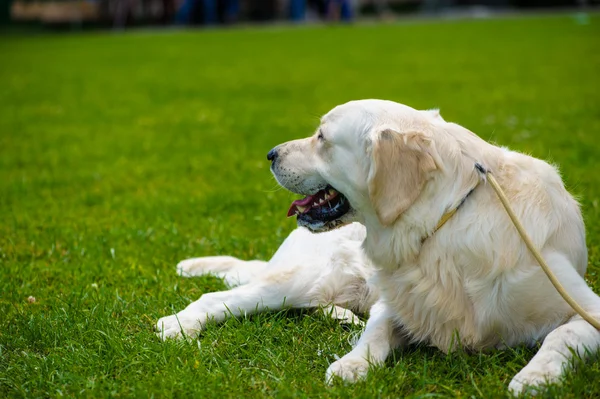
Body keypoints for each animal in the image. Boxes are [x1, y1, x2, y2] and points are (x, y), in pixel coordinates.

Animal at [270, 99, 600, 394]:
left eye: (322, 137)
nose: (270, 154)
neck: (442, 221)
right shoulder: (396, 302)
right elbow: (375, 331)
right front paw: (351, 364)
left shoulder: (586, 308)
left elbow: (560, 335)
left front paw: (536, 376)